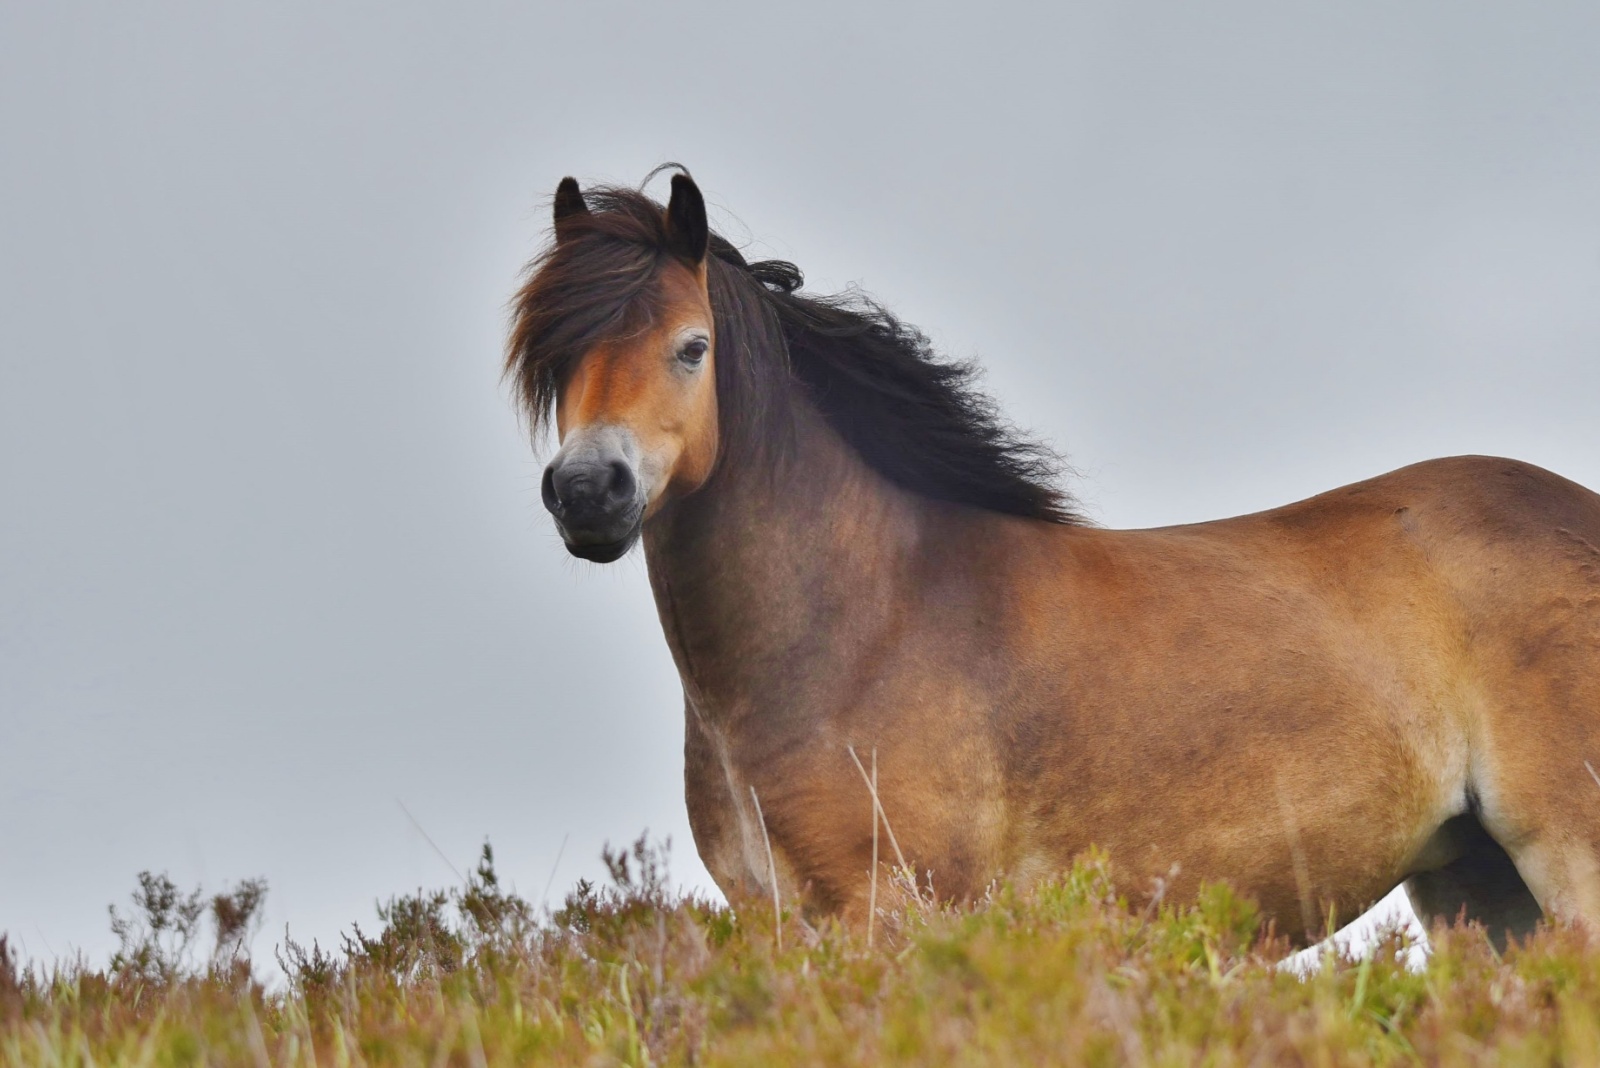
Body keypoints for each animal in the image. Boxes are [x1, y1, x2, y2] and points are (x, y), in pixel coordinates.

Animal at [505, 171, 1600, 946]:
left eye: (691, 347)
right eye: (553, 363)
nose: (589, 492)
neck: (861, 622)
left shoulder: (893, 914)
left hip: (1565, 861)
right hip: (1475, 888)